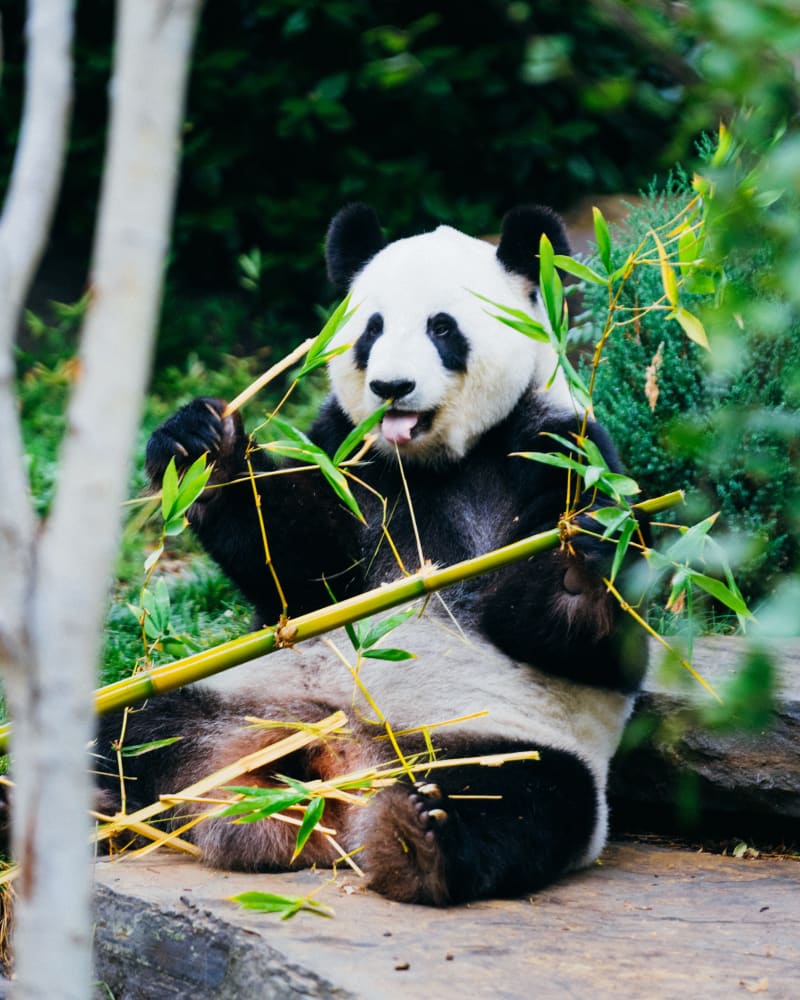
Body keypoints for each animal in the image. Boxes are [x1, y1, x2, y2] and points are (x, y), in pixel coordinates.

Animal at [97, 203, 648, 908]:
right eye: (372, 328)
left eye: (442, 327)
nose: (391, 387)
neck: (431, 462)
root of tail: (331, 770)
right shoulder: (348, 454)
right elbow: (303, 571)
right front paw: (202, 446)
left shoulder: (560, 447)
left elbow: (594, 641)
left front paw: (577, 560)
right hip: (227, 697)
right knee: (129, 734)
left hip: (499, 741)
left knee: (525, 799)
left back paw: (421, 837)